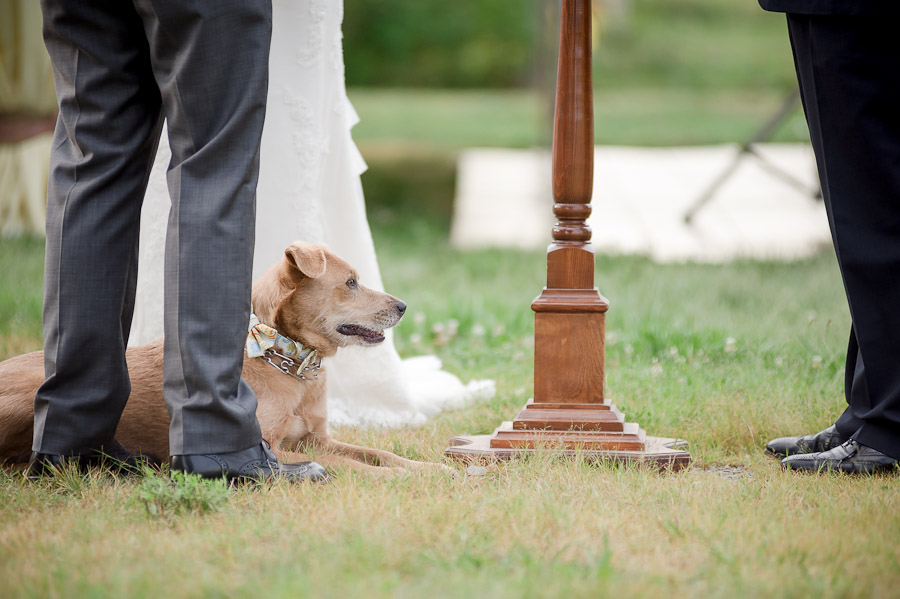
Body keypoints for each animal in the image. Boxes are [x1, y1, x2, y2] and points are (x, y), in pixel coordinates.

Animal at [1, 243, 458, 478]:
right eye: (350, 283)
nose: (403, 306)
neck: (286, 360)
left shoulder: (316, 440)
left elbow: (378, 454)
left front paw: (430, 468)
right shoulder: (275, 449)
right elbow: (351, 465)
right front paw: (401, 478)